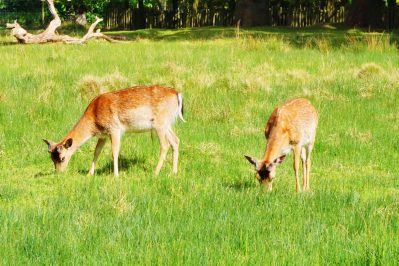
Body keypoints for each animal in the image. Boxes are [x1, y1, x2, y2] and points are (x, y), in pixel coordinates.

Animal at [43, 85, 187, 177]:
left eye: (62, 158)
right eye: (51, 158)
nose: (58, 173)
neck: (94, 118)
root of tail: (178, 94)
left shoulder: (114, 129)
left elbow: (114, 152)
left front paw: (116, 175)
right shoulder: (103, 135)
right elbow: (96, 152)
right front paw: (89, 174)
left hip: (160, 124)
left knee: (165, 145)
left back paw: (155, 173)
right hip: (167, 124)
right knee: (176, 140)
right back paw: (173, 172)